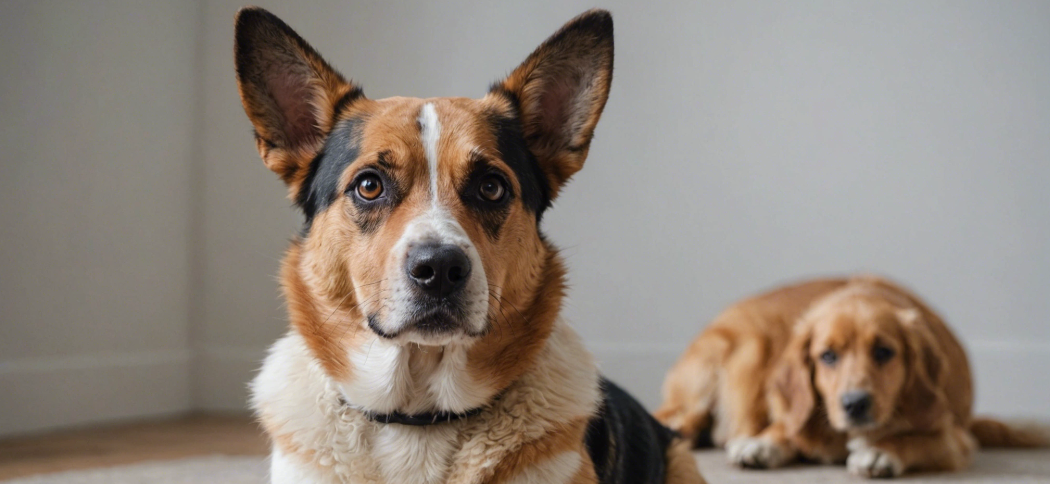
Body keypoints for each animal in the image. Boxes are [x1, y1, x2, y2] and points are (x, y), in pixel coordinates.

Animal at [655, 275, 1041, 474]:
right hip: (736, 350)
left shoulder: (954, 438)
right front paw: (762, 442)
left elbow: (915, 439)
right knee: (678, 413)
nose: (855, 404)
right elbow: (788, 427)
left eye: (884, 352)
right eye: (827, 356)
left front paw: (881, 451)